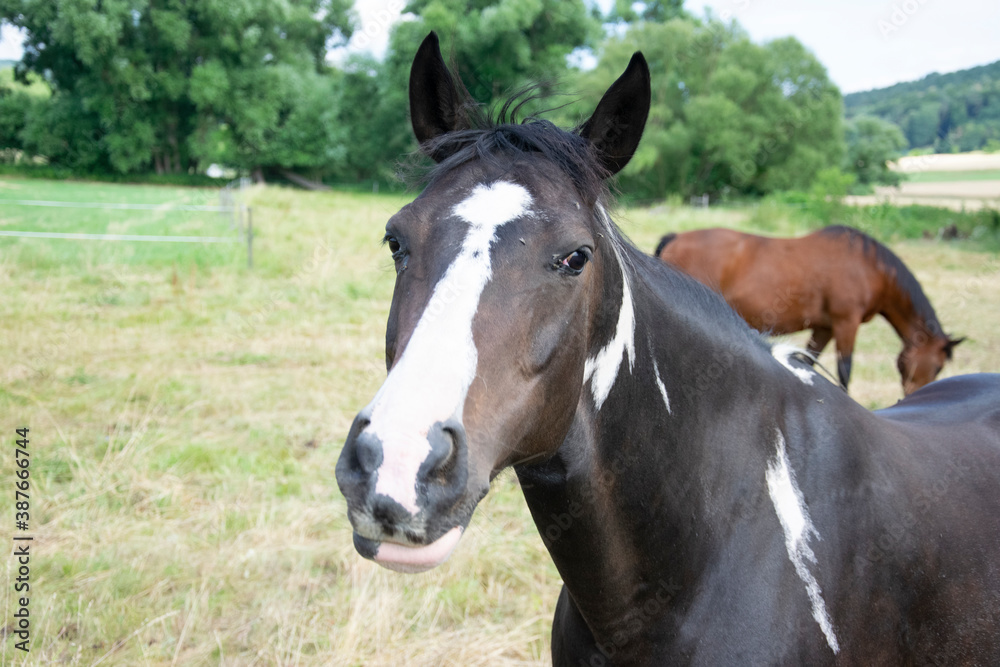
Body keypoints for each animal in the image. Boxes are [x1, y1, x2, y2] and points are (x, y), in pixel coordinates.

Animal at [652, 227, 964, 394]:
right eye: (937, 366)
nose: (913, 396)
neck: (868, 266)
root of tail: (676, 238)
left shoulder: (824, 327)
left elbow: (809, 361)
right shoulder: (846, 323)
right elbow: (844, 371)